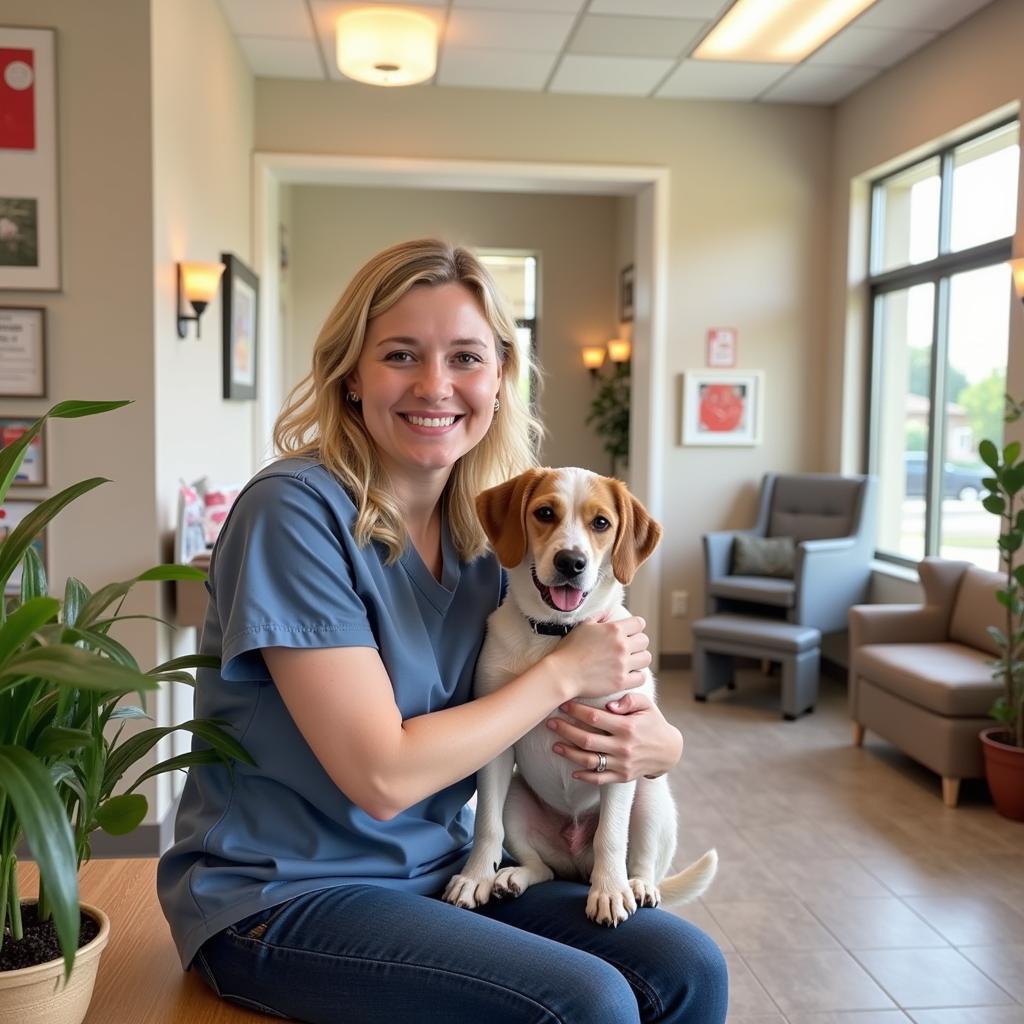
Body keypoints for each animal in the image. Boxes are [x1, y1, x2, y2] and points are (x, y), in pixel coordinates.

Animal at [444, 468, 716, 929]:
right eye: (544, 513)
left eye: (601, 523)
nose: (571, 562)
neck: (557, 636)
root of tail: (576, 862)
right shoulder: (495, 754)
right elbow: (486, 825)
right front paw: (476, 876)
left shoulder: (622, 745)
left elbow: (611, 835)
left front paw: (609, 892)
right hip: (517, 798)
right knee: (544, 868)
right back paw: (513, 877)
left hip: (651, 797)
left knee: (640, 860)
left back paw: (636, 885)